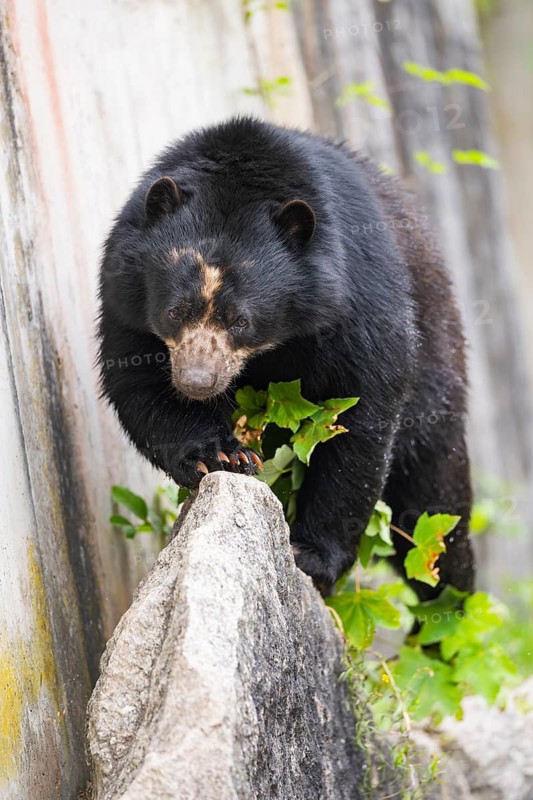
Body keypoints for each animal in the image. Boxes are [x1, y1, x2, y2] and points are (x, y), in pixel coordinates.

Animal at [97, 116, 475, 599]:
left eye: (241, 321)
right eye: (173, 311)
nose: (197, 382)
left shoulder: (358, 297)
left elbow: (360, 415)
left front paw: (312, 557)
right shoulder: (124, 290)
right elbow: (140, 382)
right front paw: (222, 456)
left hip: (438, 367)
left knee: (433, 511)